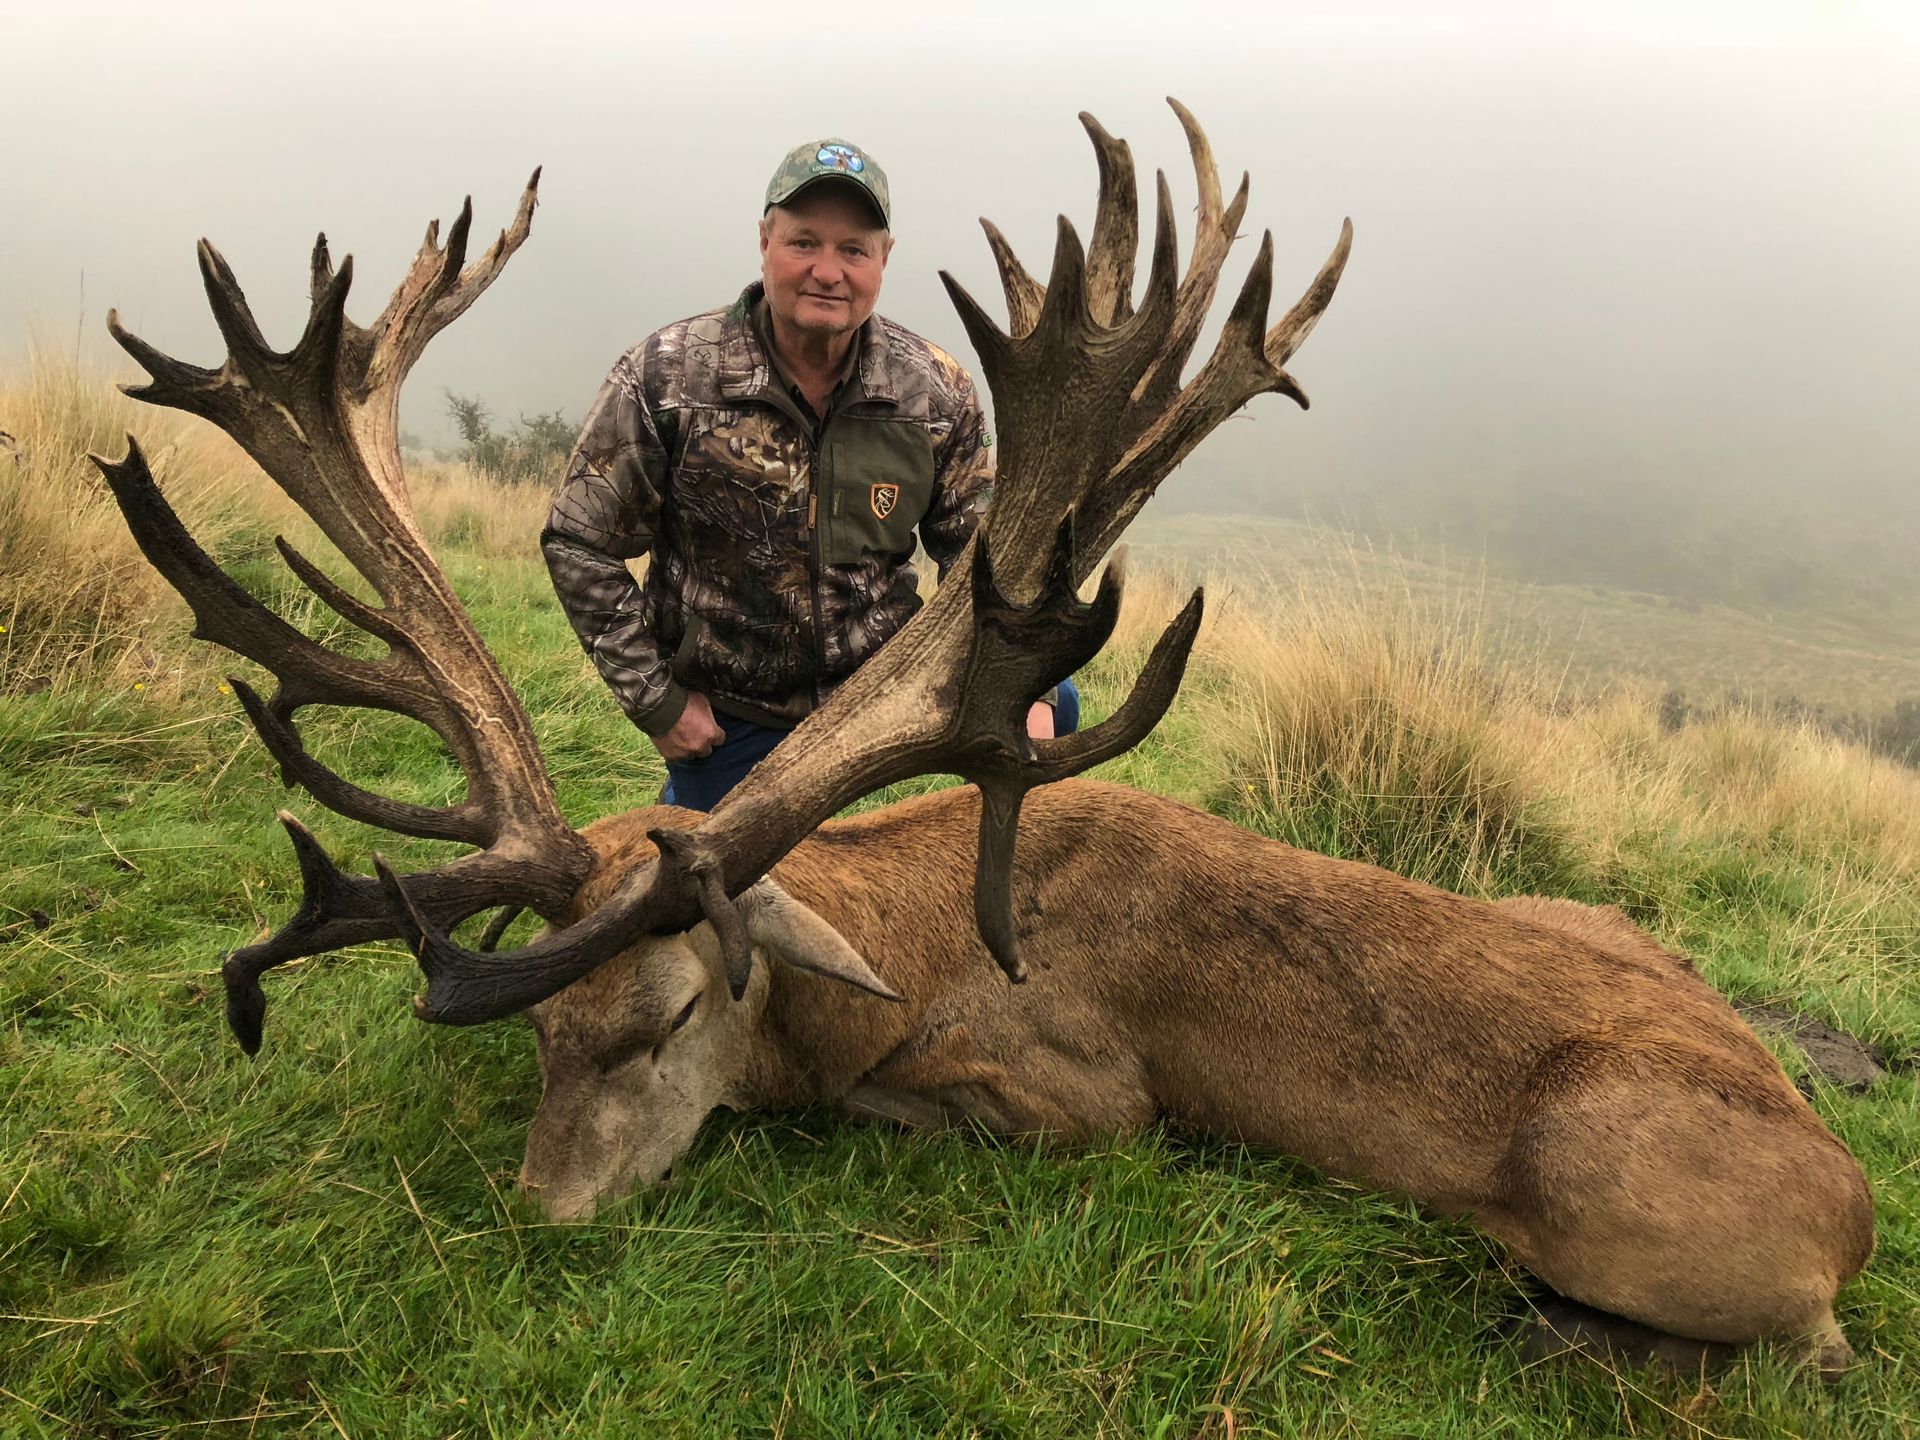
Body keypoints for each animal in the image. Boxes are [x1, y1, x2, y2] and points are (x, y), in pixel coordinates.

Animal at [95, 101, 1870, 1378]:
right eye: (542, 1035)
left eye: (672, 1016)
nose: (544, 1211)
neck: (908, 935)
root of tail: (1851, 1205)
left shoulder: (1088, 1098)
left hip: (1606, 1190)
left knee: (1807, 1350)